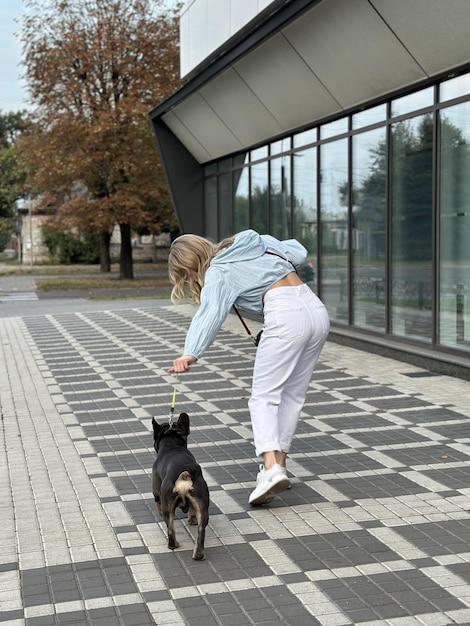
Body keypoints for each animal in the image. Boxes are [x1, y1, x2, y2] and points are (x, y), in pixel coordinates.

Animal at [152, 412, 209, 560]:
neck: (172, 443)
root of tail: (184, 474)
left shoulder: (156, 488)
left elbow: (157, 501)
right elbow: (192, 511)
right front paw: (192, 519)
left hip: (167, 504)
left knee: (170, 529)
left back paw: (174, 545)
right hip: (202, 504)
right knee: (201, 530)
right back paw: (198, 554)